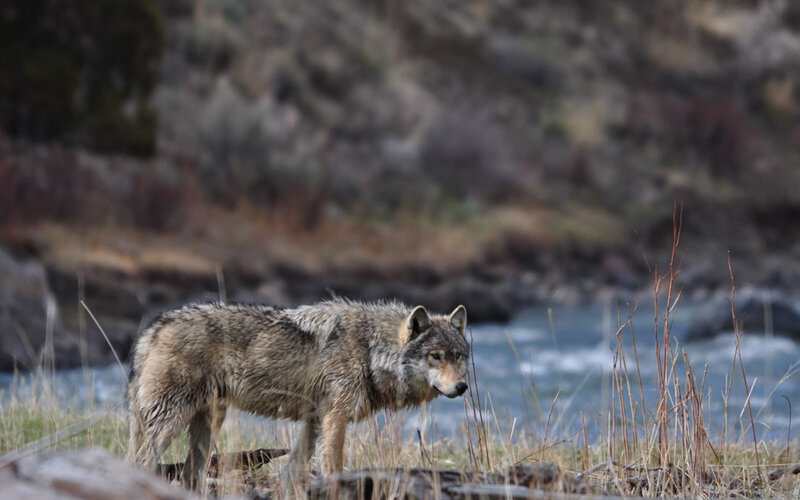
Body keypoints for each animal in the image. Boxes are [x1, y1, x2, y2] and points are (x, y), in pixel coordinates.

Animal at [127, 299, 470, 490]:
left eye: (459, 356)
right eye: (436, 356)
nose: (462, 387)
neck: (371, 350)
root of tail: (153, 330)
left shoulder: (314, 421)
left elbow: (291, 472)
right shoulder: (335, 418)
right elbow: (333, 467)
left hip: (206, 427)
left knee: (187, 475)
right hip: (169, 423)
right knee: (141, 462)